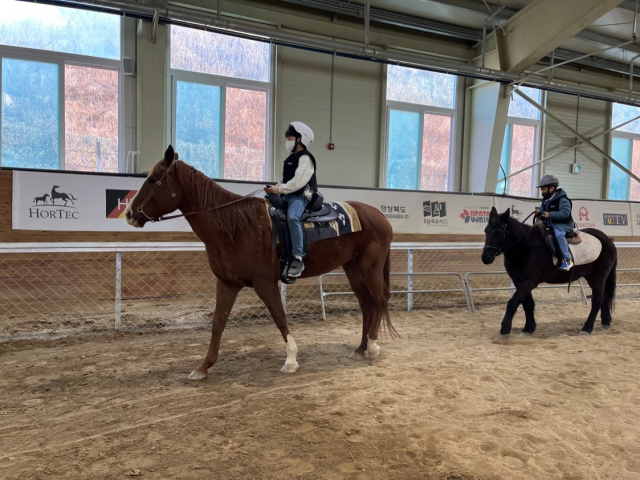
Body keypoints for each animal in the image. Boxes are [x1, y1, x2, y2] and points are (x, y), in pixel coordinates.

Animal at [125, 145, 396, 378]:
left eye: (153, 179)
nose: (129, 214)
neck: (235, 227)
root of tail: (380, 216)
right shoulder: (226, 283)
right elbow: (218, 322)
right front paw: (203, 367)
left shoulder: (264, 282)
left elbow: (279, 316)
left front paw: (291, 360)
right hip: (352, 269)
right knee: (367, 304)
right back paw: (360, 349)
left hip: (369, 268)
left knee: (380, 299)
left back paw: (373, 347)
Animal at [484, 208, 616, 336]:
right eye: (486, 230)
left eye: (499, 232)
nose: (486, 257)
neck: (527, 247)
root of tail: (607, 240)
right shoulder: (519, 282)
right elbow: (527, 304)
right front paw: (528, 328)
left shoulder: (529, 282)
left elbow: (513, 303)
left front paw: (505, 328)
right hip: (593, 277)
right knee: (604, 297)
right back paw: (605, 321)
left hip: (598, 277)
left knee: (597, 300)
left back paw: (587, 328)